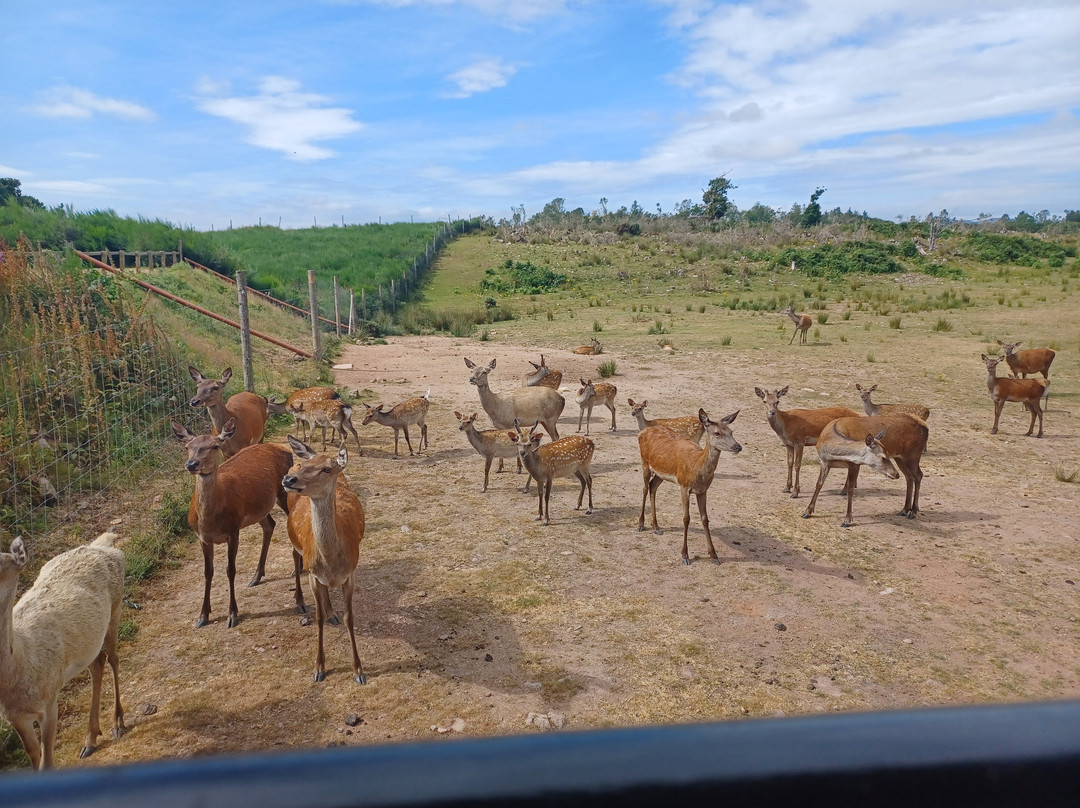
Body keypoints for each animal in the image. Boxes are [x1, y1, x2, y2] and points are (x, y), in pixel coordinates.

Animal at [1, 532, 125, 769]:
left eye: (0, 564)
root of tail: (106, 543)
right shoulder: (15, 717)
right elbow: (34, 755)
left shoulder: (49, 701)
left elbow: (47, 762)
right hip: (89, 640)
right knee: (97, 663)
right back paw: (90, 740)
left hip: (116, 606)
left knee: (113, 658)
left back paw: (118, 723)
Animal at [172, 419, 294, 628]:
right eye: (188, 447)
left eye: (214, 446)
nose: (192, 464)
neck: (209, 522)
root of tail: (285, 449)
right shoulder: (202, 538)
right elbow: (208, 572)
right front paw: (203, 616)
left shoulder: (233, 529)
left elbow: (230, 570)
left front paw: (232, 615)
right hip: (259, 508)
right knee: (270, 524)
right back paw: (256, 576)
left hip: (284, 493)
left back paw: (297, 569)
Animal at [283, 437, 367, 684]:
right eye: (304, 466)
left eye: (327, 469)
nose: (290, 479)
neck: (330, 562)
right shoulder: (313, 573)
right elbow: (318, 617)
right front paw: (319, 668)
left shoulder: (350, 574)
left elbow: (350, 618)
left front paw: (358, 671)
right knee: (294, 556)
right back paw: (300, 601)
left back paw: (332, 614)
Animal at [637, 409, 742, 565]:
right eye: (717, 433)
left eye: (731, 431)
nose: (738, 447)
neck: (696, 466)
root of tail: (643, 432)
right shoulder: (684, 486)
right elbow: (686, 518)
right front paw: (685, 555)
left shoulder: (703, 490)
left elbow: (705, 519)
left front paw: (714, 555)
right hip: (644, 461)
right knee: (644, 488)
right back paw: (641, 524)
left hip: (660, 473)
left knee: (652, 487)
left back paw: (656, 526)